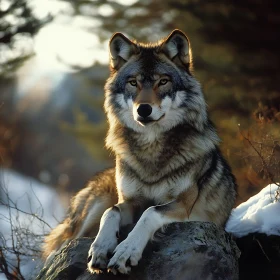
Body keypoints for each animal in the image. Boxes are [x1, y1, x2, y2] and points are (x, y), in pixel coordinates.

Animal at [42, 29, 237, 274]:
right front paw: (101, 247)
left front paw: (125, 252)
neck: (151, 150)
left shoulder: (185, 207)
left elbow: (150, 211)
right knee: (67, 241)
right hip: (91, 211)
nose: (144, 109)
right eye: (133, 83)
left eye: (163, 81)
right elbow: (112, 211)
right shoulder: (129, 201)